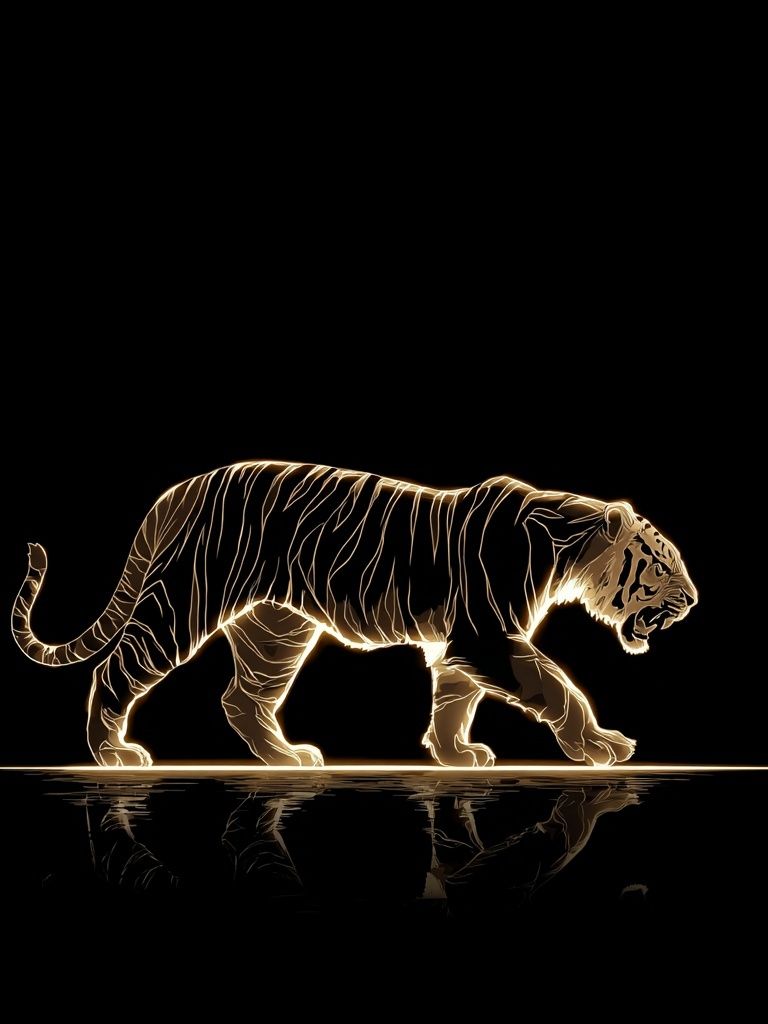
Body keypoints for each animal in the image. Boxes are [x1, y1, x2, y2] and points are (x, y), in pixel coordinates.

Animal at [12, 461, 697, 768]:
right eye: (662, 564)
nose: (693, 600)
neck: (565, 552)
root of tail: (180, 489)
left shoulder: (459, 646)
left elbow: (453, 702)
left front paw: (453, 755)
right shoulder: (489, 638)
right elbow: (558, 686)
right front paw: (601, 746)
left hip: (276, 630)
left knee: (241, 698)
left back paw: (287, 759)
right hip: (180, 607)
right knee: (114, 672)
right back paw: (114, 755)